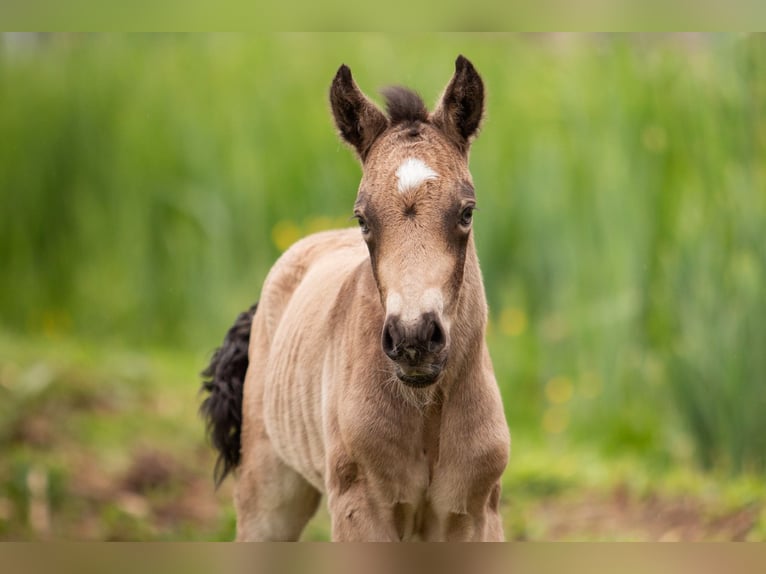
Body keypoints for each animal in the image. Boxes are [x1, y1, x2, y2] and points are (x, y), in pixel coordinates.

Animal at [202, 56, 510, 544]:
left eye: (466, 212)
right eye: (363, 218)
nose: (413, 339)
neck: (428, 413)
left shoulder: (475, 515)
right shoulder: (360, 512)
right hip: (268, 496)